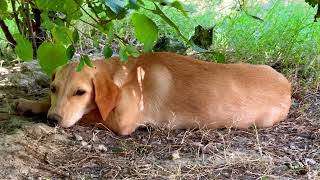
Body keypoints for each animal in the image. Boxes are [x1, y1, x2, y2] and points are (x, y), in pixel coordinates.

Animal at [17, 52, 292, 135]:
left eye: (80, 92)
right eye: (53, 88)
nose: (53, 120)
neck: (124, 74)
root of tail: (288, 87)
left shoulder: (122, 121)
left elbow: (90, 113)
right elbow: (45, 102)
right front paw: (30, 103)